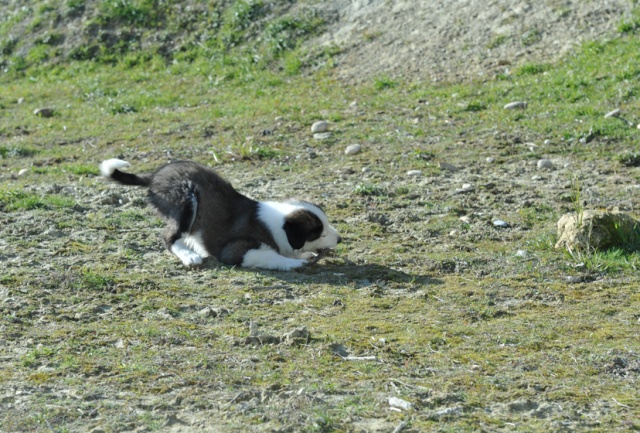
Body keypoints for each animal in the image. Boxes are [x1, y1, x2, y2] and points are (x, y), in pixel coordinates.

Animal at [99, 159, 340, 270]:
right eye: (318, 232)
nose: (340, 239)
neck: (278, 226)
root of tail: (155, 174)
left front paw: (302, 255)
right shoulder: (237, 250)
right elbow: (270, 256)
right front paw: (292, 263)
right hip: (185, 202)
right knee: (169, 236)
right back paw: (189, 256)